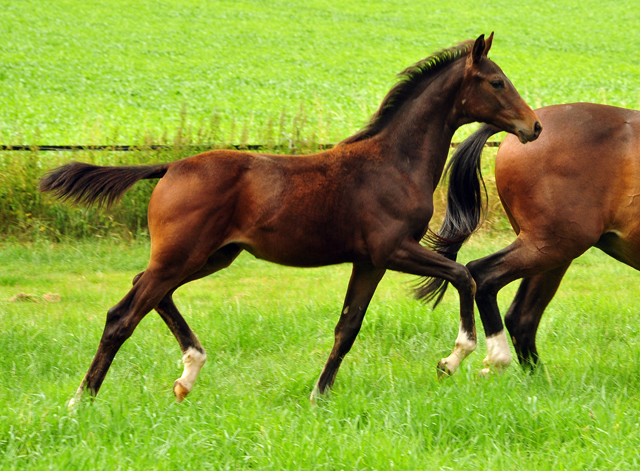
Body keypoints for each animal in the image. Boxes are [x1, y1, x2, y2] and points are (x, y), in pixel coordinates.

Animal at [40, 35, 540, 408]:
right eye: (497, 82)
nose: (533, 127)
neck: (394, 163)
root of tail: (170, 167)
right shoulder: (393, 249)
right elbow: (463, 275)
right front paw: (470, 357)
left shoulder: (369, 261)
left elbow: (348, 326)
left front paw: (320, 394)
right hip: (183, 255)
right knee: (122, 314)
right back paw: (81, 401)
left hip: (210, 257)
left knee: (150, 293)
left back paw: (188, 372)